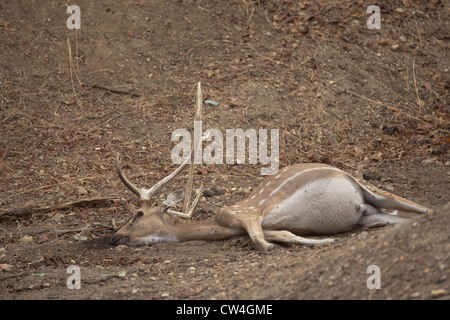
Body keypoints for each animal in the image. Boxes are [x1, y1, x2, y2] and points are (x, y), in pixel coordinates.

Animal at [110, 153, 430, 252]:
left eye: (138, 214)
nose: (114, 236)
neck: (221, 224)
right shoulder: (260, 224)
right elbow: (283, 234)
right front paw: (323, 241)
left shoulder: (245, 213)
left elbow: (259, 240)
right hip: (370, 214)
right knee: (403, 217)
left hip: (369, 188)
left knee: (422, 206)